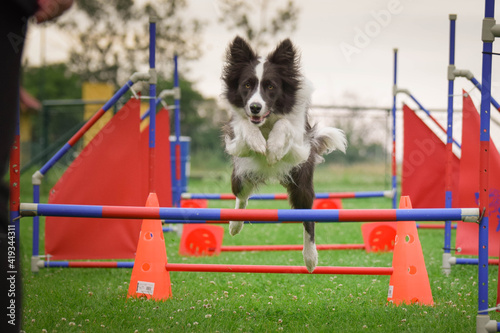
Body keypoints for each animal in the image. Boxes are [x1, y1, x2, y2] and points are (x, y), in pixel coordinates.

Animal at [221, 36, 346, 272]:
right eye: (247, 85)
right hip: (240, 175)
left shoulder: (299, 143)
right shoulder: (237, 139)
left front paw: (273, 148)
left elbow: (285, 125)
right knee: (241, 195)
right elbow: (245, 126)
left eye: (270, 86)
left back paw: (310, 258)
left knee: (308, 219)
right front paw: (259, 142)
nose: (255, 107)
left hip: (302, 183)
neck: (266, 120)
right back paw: (235, 223)